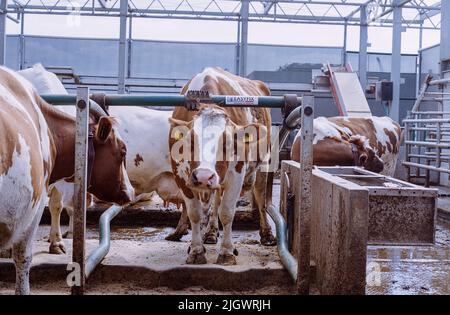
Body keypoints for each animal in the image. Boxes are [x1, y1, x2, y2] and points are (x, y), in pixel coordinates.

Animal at [0, 65, 134, 296]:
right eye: (123, 151)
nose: (131, 192)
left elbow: (56, 206)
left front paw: (56, 242)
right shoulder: (35, 205)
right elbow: (24, 257)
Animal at [168, 67, 274, 266]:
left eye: (227, 143)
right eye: (191, 141)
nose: (203, 176)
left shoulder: (237, 174)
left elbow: (227, 212)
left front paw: (226, 252)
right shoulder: (180, 175)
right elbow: (195, 213)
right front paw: (196, 250)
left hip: (264, 162)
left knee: (261, 196)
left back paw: (267, 234)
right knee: (216, 199)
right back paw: (210, 232)